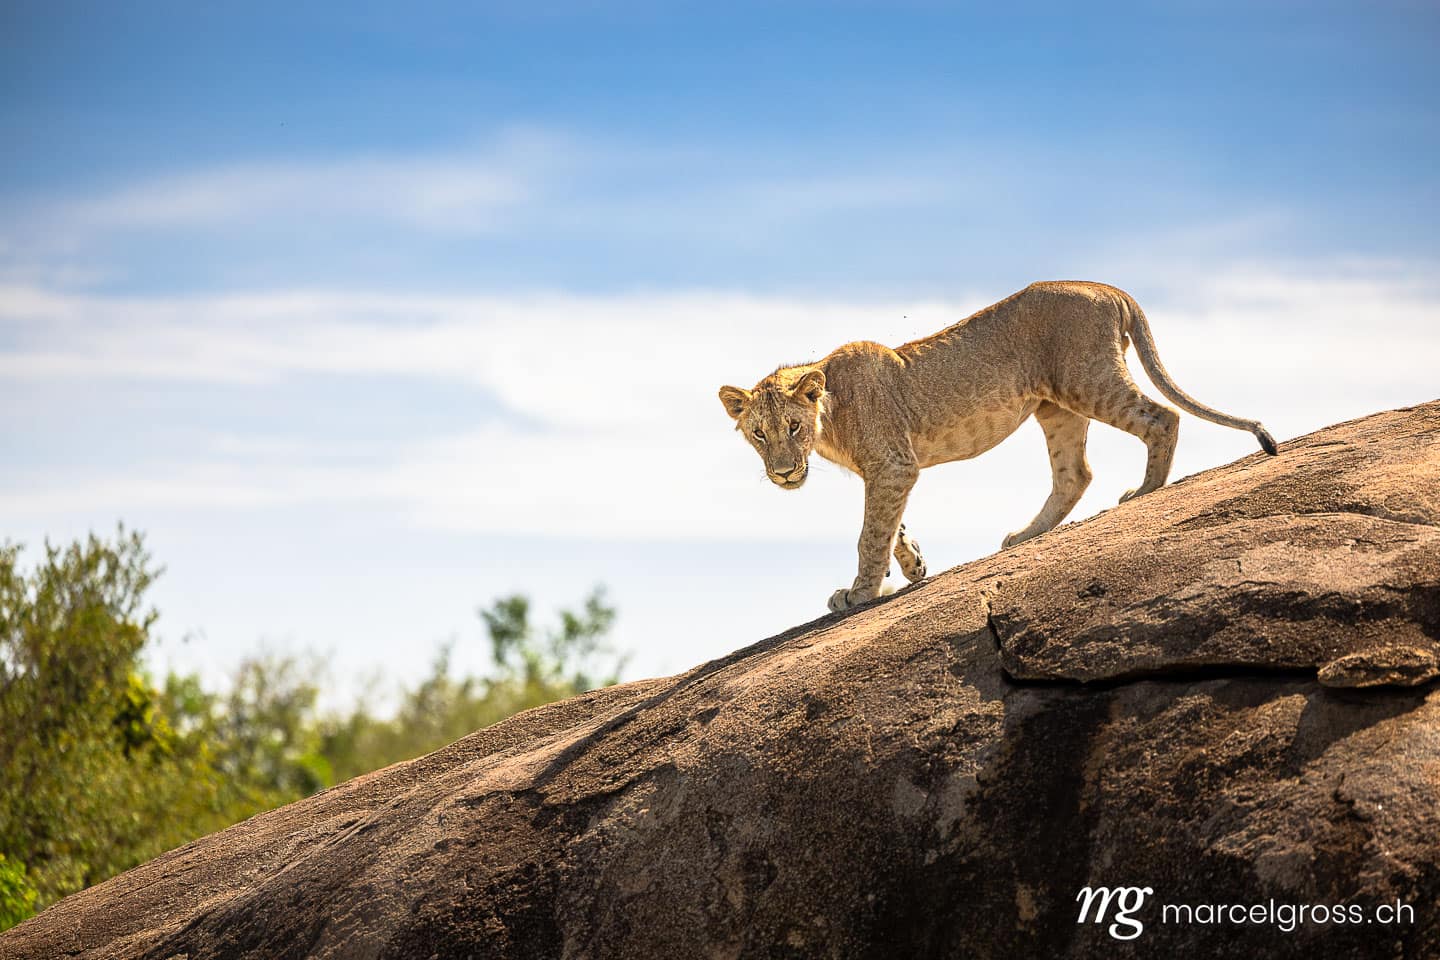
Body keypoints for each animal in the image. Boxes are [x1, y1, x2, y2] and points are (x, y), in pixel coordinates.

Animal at [718, 281, 1277, 613]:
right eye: (759, 434)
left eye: (793, 426)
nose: (783, 473)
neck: (830, 419)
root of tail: (1106, 286)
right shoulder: (891, 470)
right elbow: (892, 526)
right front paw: (915, 568)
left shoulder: (892, 465)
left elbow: (870, 534)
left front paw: (859, 593)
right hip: (1056, 405)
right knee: (1074, 474)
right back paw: (1026, 535)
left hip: (1087, 379)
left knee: (1163, 417)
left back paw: (1144, 492)